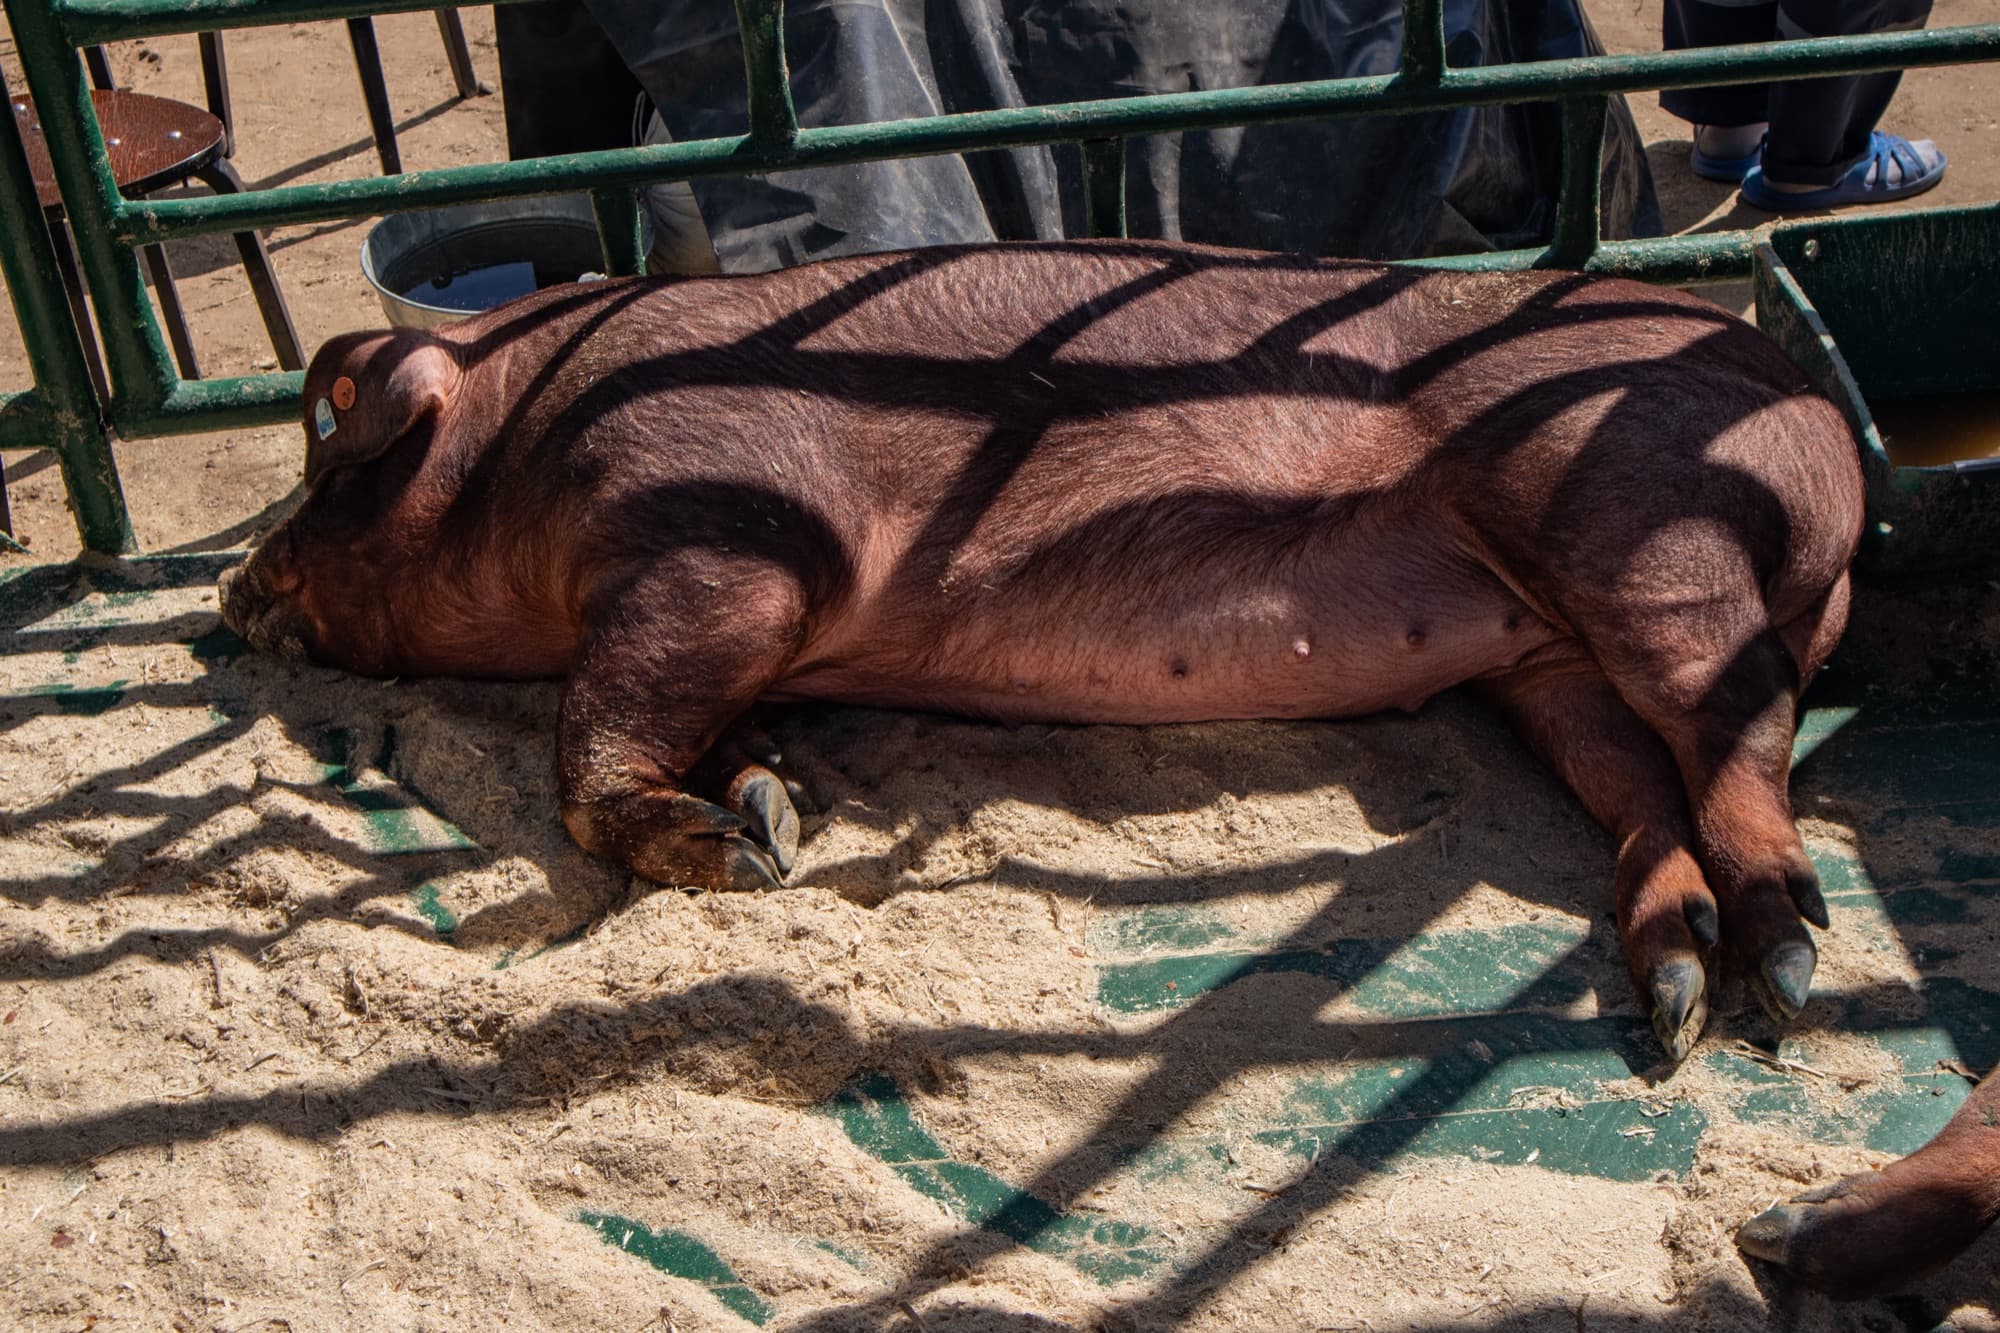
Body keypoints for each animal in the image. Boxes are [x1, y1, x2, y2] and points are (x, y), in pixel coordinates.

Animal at [218, 239, 1864, 1064]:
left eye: (321, 457)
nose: (228, 589)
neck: (524, 444)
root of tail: (1822, 432)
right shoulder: (740, 627)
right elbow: (705, 723)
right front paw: (770, 808)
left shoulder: (723, 533)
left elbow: (591, 738)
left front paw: (740, 856)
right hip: (1538, 651)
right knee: (1638, 781)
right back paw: (1679, 996)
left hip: (1635, 523)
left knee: (1737, 734)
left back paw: (1787, 958)